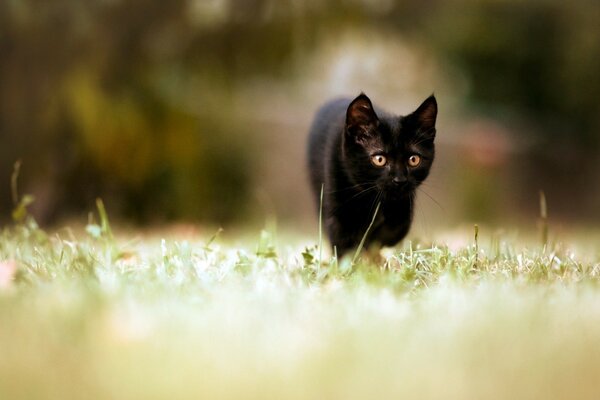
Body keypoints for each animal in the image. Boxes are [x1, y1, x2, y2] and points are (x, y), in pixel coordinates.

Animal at [310, 93, 436, 256]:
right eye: (379, 159)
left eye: (414, 160)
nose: (399, 180)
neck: (372, 198)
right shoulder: (336, 209)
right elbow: (343, 242)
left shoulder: (405, 204)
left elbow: (394, 230)